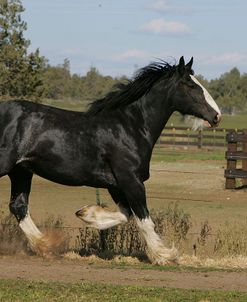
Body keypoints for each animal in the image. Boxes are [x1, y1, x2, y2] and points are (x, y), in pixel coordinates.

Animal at [0, 57, 220, 264]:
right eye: (190, 85)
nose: (216, 115)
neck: (130, 127)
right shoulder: (131, 180)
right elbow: (144, 219)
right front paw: (164, 256)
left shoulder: (115, 185)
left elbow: (125, 215)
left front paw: (86, 213)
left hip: (21, 171)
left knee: (19, 207)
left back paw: (47, 246)